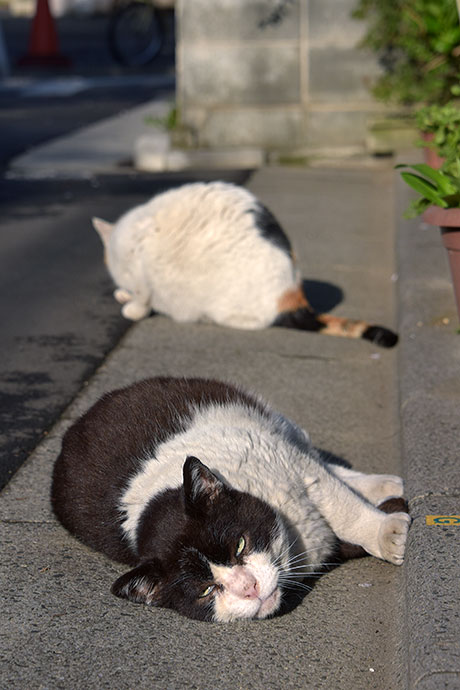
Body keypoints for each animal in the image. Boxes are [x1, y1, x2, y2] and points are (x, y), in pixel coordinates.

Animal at [51, 376, 410, 624]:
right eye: (207, 589)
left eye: (239, 545)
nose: (248, 587)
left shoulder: (288, 462)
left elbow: (342, 508)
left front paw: (387, 535)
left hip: (278, 428)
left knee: (323, 462)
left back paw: (384, 485)